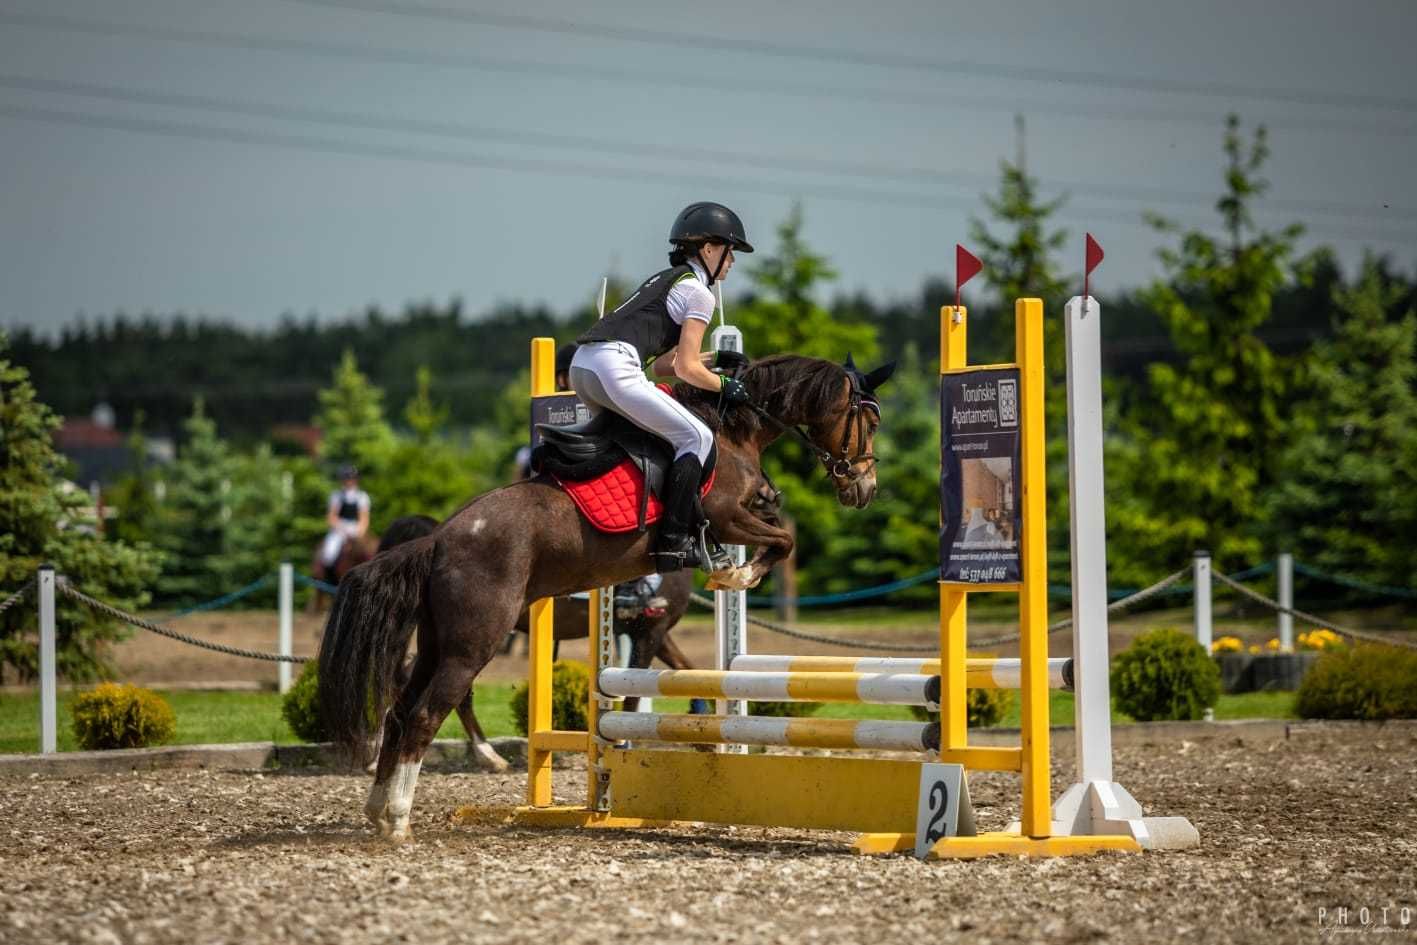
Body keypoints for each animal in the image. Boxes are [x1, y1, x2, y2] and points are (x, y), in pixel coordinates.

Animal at [323, 357, 889, 844]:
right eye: (867, 420)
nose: (864, 488)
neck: (731, 431)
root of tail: (439, 538)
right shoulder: (724, 519)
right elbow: (781, 540)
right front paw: (736, 574)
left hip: (439, 640)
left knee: (401, 711)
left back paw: (378, 810)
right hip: (475, 642)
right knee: (425, 714)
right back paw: (402, 819)